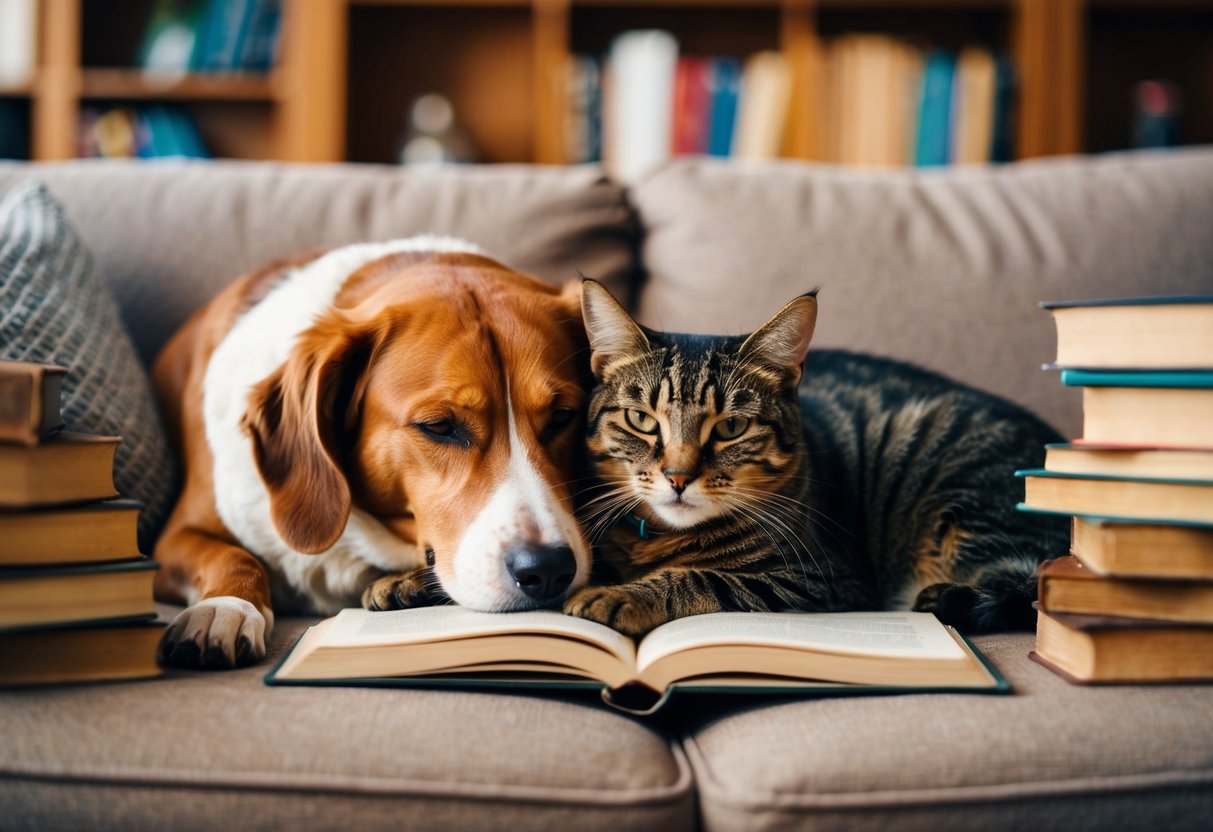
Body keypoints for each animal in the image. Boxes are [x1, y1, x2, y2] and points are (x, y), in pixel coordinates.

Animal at [149, 236, 594, 669]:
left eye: (562, 416)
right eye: (439, 426)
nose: (548, 569)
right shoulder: (171, 541)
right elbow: (235, 557)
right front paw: (226, 607)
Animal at [562, 280, 1067, 640]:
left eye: (731, 427)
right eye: (641, 420)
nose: (678, 476)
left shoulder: (826, 579)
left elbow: (703, 578)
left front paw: (615, 597)